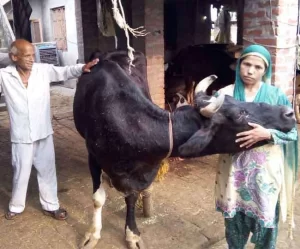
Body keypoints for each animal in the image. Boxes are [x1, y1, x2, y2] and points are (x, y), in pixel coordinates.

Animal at [73, 51, 296, 249]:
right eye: (240, 113)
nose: (289, 112)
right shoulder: (93, 157)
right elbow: (98, 199)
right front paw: (93, 234)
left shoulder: (141, 173)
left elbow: (131, 197)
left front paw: (133, 235)